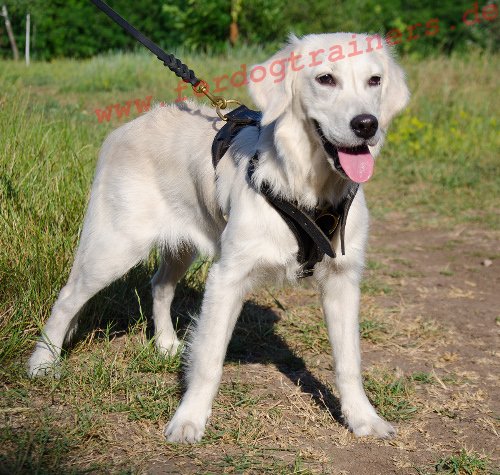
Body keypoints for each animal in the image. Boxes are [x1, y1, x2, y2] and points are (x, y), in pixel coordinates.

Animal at [28, 32, 410, 442]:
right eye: (325, 79)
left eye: (374, 80)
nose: (366, 124)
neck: (309, 189)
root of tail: (125, 129)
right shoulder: (228, 276)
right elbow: (210, 358)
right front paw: (189, 419)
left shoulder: (343, 278)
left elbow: (349, 361)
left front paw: (363, 417)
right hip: (115, 247)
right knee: (68, 297)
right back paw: (42, 362)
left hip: (180, 246)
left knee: (160, 285)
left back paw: (165, 344)